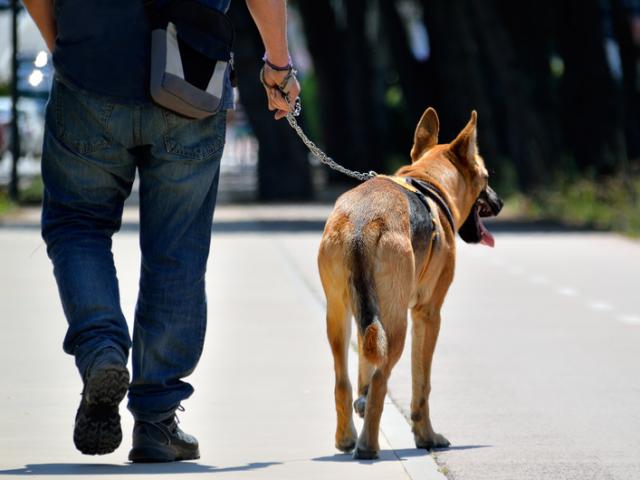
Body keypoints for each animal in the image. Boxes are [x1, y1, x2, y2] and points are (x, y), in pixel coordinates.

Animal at [318, 108, 502, 458]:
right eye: (486, 177)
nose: (500, 203)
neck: (429, 180)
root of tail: (363, 221)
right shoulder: (428, 315)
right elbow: (423, 384)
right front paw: (426, 437)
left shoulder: (365, 317)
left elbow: (363, 373)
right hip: (397, 326)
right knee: (381, 381)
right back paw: (368, 446)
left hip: (339, 317)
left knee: (342, 380)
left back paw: (346, 438)